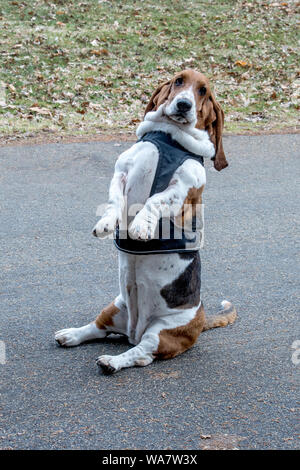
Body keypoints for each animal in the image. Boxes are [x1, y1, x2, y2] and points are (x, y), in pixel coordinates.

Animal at [54, 68, 237, 372]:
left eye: (203, 91)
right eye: (178, 81)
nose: (184, 105)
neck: (170, 138)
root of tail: (134, 330)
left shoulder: (182, 189)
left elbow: (154, 200)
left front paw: (140, 224)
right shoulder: (122, 171)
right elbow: (115, 202)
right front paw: (107, 223)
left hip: (161, 331)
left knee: (141, 354)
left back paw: (112, 362)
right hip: (115, 307)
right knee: (96, 328)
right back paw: (71, 335)